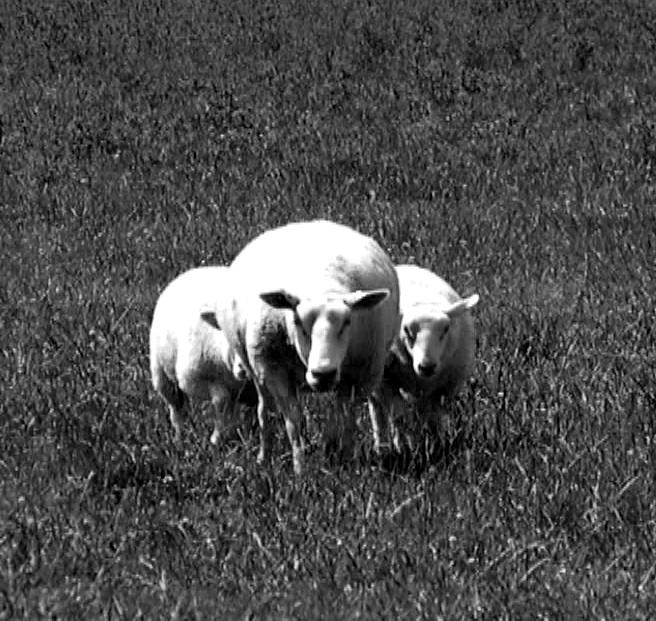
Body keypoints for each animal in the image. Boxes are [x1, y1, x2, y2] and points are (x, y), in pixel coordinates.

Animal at [149, 266, 256, 445]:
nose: (244, 369)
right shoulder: (193, 378)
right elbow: (221, 400)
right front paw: (216, 439)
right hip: (162, 375)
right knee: (176, 409)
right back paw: (179, 439)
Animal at [213, 219, 401, 474]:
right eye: (298, 322)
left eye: (348, 322)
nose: (323, 374)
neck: (322, 283)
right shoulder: (274, 371)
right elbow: (294, 422)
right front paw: (301, 469)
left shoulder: (357, 377)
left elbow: (344, 420)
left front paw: (343, 461)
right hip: (256, 367)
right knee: (265, 410)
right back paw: (264, 457)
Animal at [368, 264, 480, 455]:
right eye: (406, 329)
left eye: (446, 329)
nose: (427, 366)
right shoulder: (385, 381)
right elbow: (399, 418)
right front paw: (406, 448)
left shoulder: (442, 390)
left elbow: (432, 420)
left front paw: (435, 447)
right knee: (379, 412)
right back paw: (383, 447)